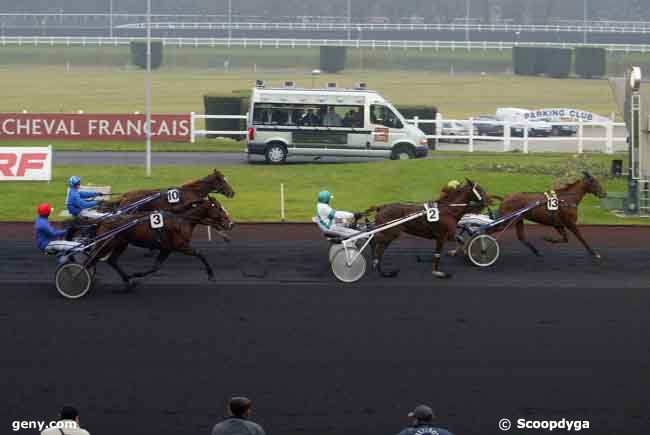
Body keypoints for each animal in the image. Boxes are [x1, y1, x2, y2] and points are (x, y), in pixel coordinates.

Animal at [91, 196, 233, 288]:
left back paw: (126, 280)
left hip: (121, 244)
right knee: (94, 258)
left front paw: (135, 275)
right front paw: (211, 275)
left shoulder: (167, 249)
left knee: (112, 261)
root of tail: (103, 221)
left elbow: (155, 267)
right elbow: (200, 254)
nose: (230, 224)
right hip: (107, 244)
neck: (182, 221)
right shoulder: (181, 246)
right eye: (219, 208)